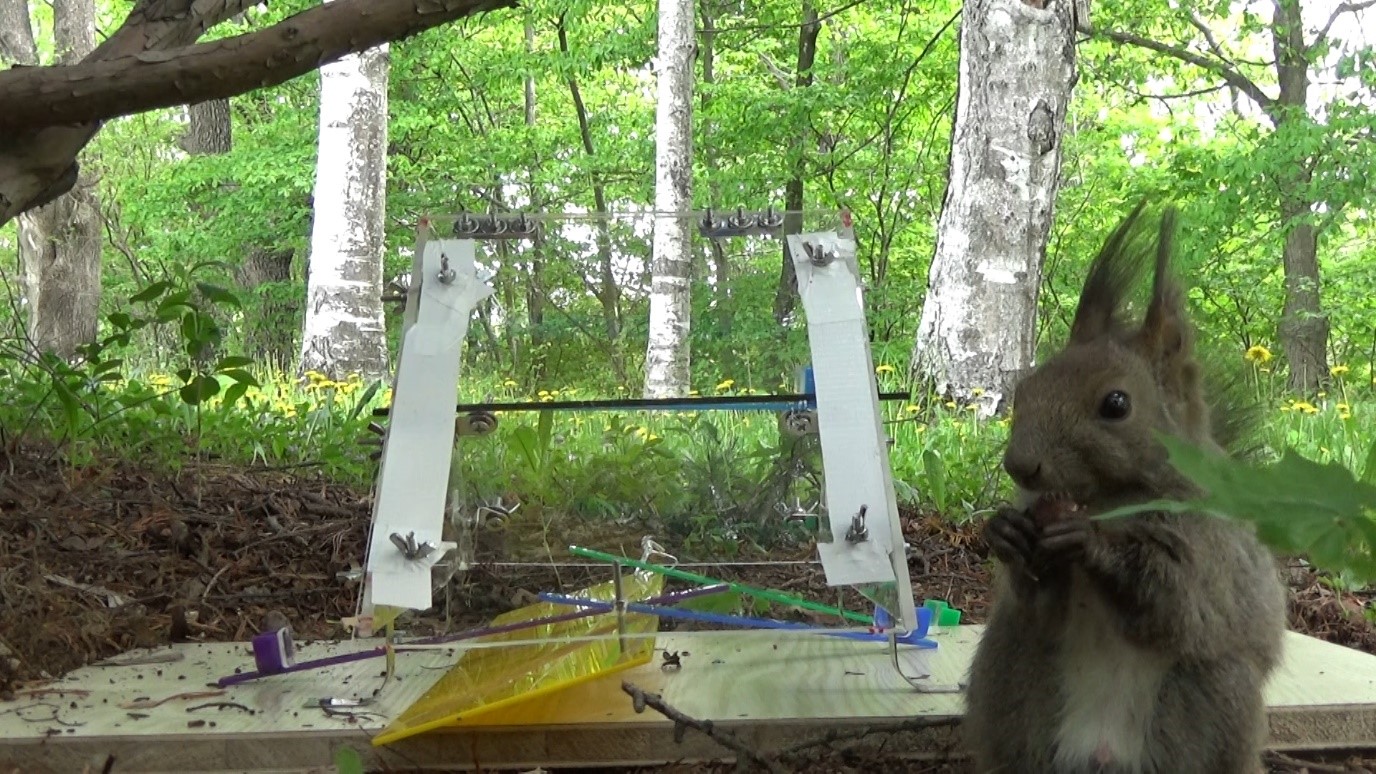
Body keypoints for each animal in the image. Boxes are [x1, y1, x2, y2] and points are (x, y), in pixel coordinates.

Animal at [960, 203, 1287, 774]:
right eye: (1025, 388)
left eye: (1116, 404)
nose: (1020, 466)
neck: (1108, 499)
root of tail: (1101, 754)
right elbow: (1042, 609)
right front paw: (1005, 531)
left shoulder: (1211, 552)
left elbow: (1172, 602)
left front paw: (1090, 542)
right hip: (1009, 671)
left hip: (1218, 695)